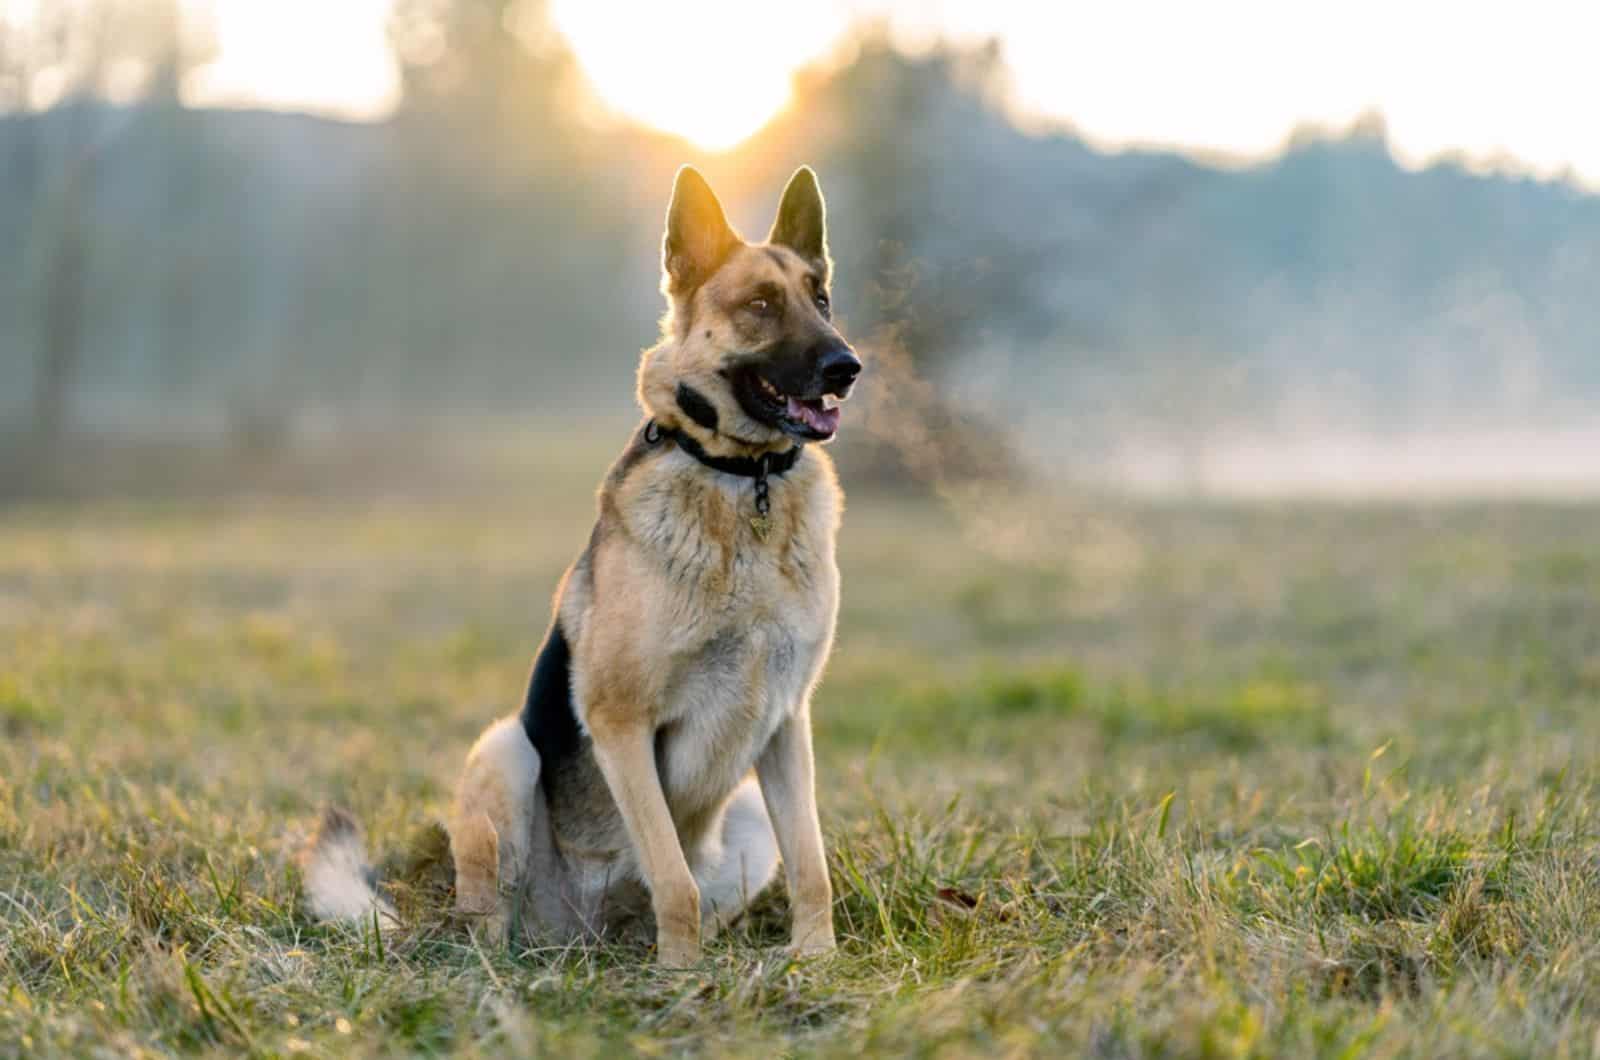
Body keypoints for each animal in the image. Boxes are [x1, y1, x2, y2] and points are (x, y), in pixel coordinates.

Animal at [305, 166, 870, 973]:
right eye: (761, 305)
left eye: (821, 299)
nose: (847, 368)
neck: (744, 484)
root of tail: (585, 937)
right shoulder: (622, 722)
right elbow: (674, 880)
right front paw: (682, 977)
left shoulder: (788, 725)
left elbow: (812, 866)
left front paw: (814, 962)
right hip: (505, 751)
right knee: (492, 922)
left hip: (747, 818)